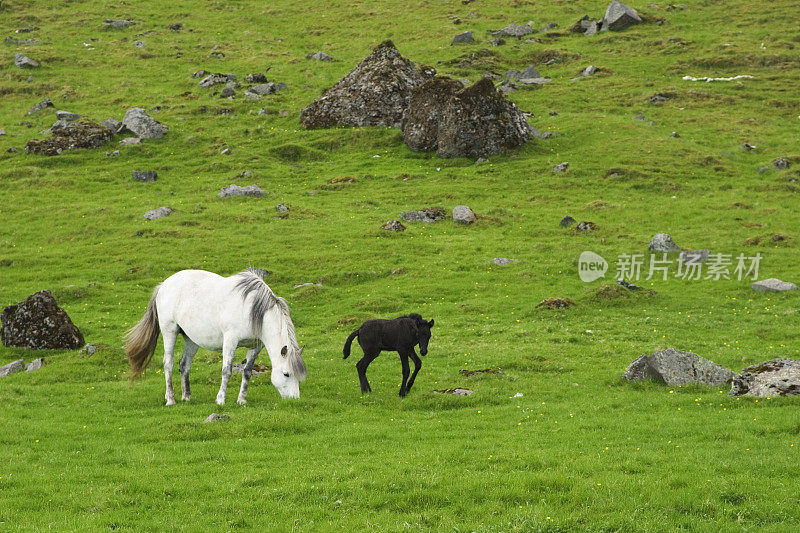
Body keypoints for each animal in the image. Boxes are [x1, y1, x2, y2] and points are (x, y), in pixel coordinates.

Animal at [124, 268, 306, 406]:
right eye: (286, 374)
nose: (295, 399)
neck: (254, 310)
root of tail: (163, 285)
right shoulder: (230, 340)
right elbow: (226, 371)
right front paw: (220, 400)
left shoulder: (255, 346)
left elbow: (247, 371)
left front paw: (242, 400)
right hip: (170, 331)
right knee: (168, 363)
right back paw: (170, 399)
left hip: (191, 339)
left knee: (184, 364)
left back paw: (186, 396)